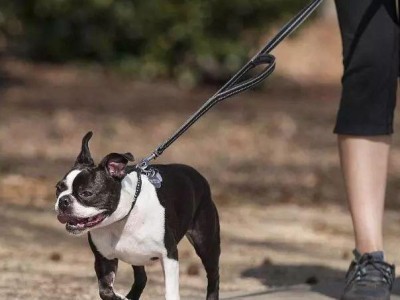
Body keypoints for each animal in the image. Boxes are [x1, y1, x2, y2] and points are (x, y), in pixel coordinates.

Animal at [54, 132, 220, 298]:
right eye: (58, 188)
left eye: (86, 193)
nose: (63, 200)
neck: (121, 219)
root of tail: (198, 175)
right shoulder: (104, 259)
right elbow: (105, 291)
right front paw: (120, 297)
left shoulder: (169, 255)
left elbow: (171, 293)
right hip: (136, 257)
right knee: (142, 277)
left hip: (205, 243)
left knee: (213, 275)